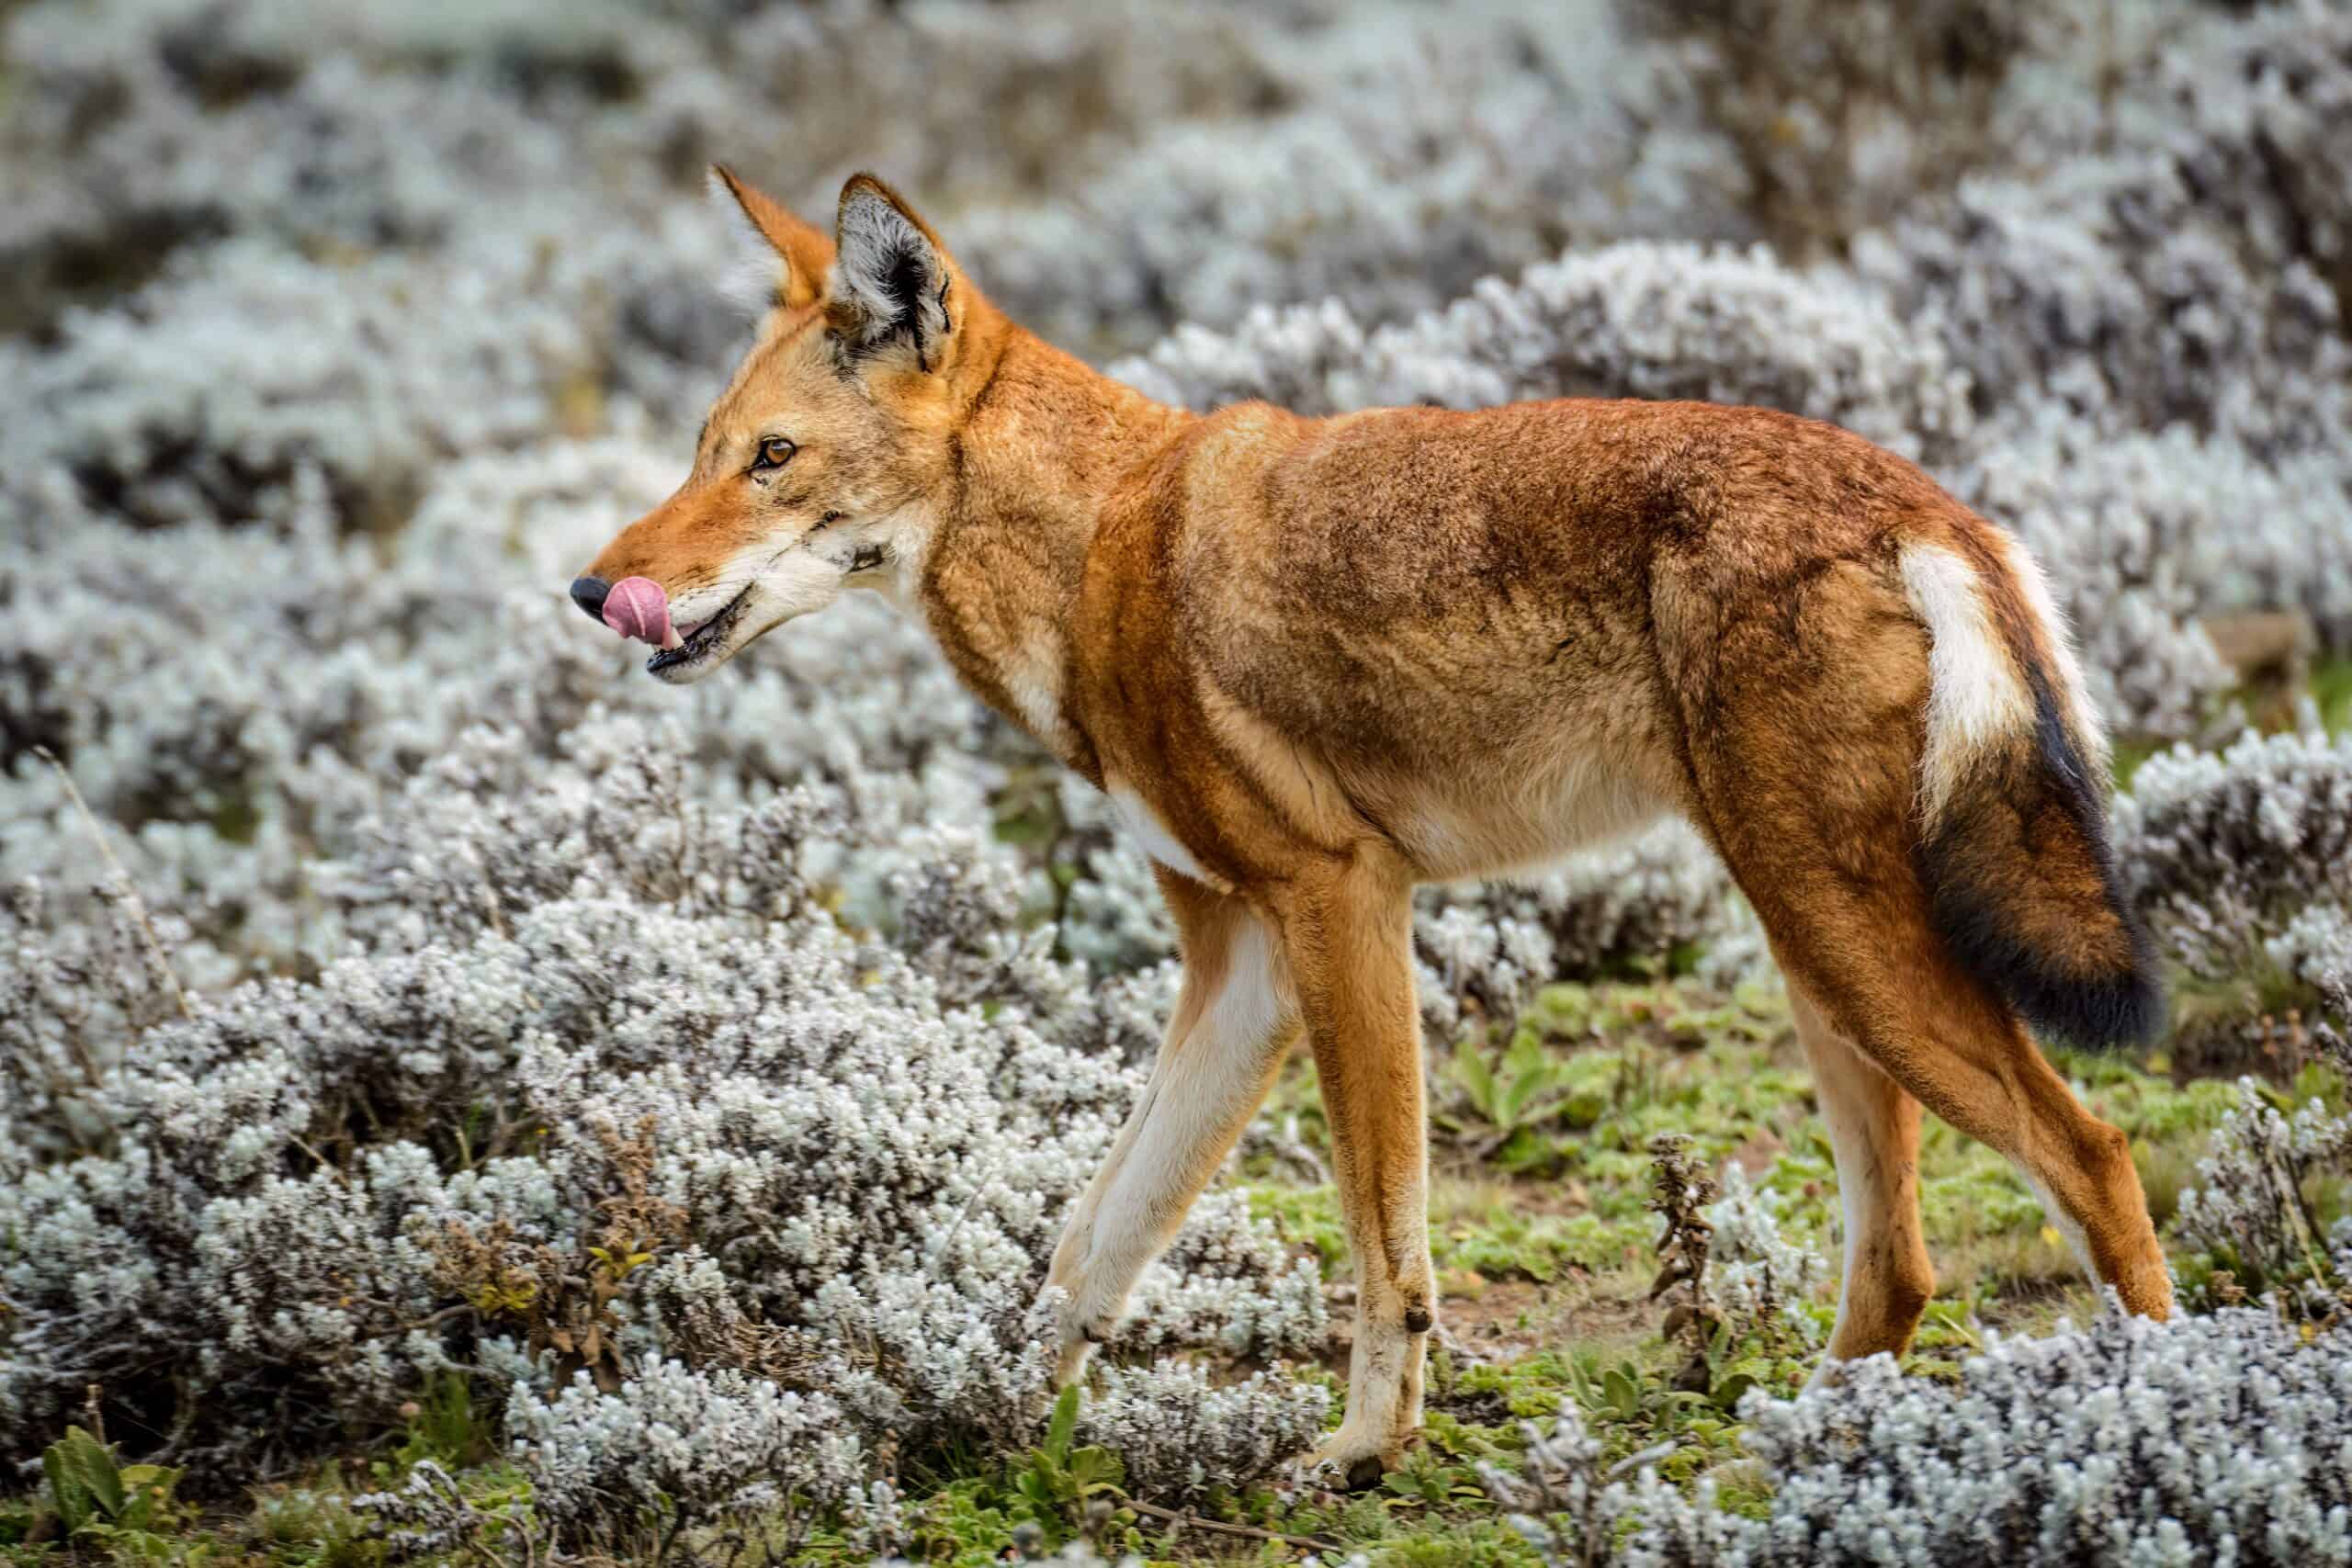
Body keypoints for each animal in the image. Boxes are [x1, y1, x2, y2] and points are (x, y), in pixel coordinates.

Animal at [569, 165, 2164, 1495]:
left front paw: (1359, 1452)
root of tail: (1930, 504)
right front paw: (981, 1420)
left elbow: (1380, 1235)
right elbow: (1092, 1238)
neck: (1101, 546)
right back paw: (1816, 1448)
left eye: (771, 458)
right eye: (703, 450)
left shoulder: (1341, 903)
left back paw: (2161, 1403)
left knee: (2092, 1154)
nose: (593, 590)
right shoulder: (1242, 967)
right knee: (1901, 1259)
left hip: (1844, 948)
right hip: (1815, 961)